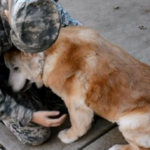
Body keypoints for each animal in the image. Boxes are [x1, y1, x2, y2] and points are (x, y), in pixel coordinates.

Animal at [3, 26, 150, 149]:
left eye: (15, 68)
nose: (8, 88)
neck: (49, 53)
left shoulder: (74, 102)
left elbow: (77, 123)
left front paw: (68, 136)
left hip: (129, 123)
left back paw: (117, 147)